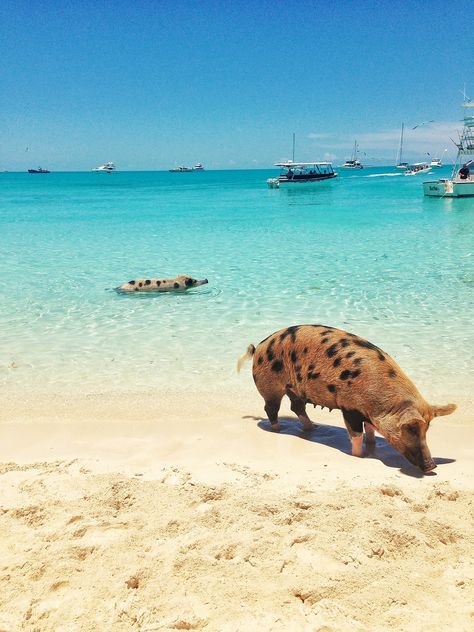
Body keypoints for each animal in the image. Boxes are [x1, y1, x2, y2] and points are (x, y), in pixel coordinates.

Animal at [239, 326, 458, 474]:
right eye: (410, 429)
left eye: (426, 429)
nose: (432, 466)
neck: (381, 405)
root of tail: (259, 347)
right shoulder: (349, 407)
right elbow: (355, 434)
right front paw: (360, 456)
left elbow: (369, 430)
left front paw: (372, 445)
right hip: (270, 386)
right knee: (271, 408)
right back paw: (278, 429)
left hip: (295, 389)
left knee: (296, 406)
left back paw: (313, 428)